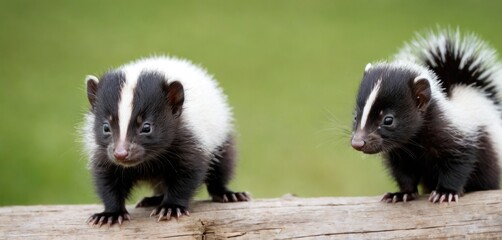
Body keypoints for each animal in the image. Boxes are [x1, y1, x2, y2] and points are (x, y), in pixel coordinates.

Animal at [81, 56, 250, 227]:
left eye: (146, 127)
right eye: (106, 127)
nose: (121, 154)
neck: (148, 160)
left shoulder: (188, 140)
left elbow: (186, 174)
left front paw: (171, 207)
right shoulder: (104, 153)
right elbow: (107, 179)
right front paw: (111, 214)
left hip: (221, 138)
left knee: (222, 166)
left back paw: (227, 194)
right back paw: (153, 199)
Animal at [352, 28, 502, 204]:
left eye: (388, 120)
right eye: (356, 117)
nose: (358, 142)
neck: (415, 141)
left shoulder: (460, 137)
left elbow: (457, 166)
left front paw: (445, 192)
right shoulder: (401, 151)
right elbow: (404, 172)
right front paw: (402, 194)